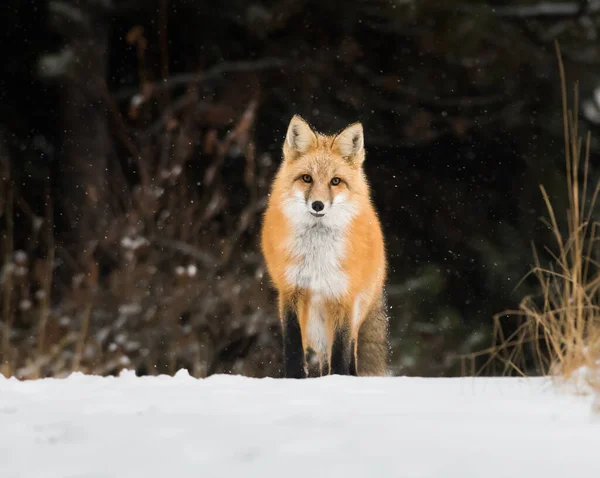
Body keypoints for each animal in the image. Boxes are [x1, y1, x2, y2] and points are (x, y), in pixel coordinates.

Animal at [262, 116, 390, 378]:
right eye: (307, 178)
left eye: (335, 181)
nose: (318, 205)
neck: (317, 256)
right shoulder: (290, 291)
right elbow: (293, 346)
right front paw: (295, 379)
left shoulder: (343, 296)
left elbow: (340, 353)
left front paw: (338, 381)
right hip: (314, 323)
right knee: (322, 355)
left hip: (352, 312)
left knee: (348, 351)